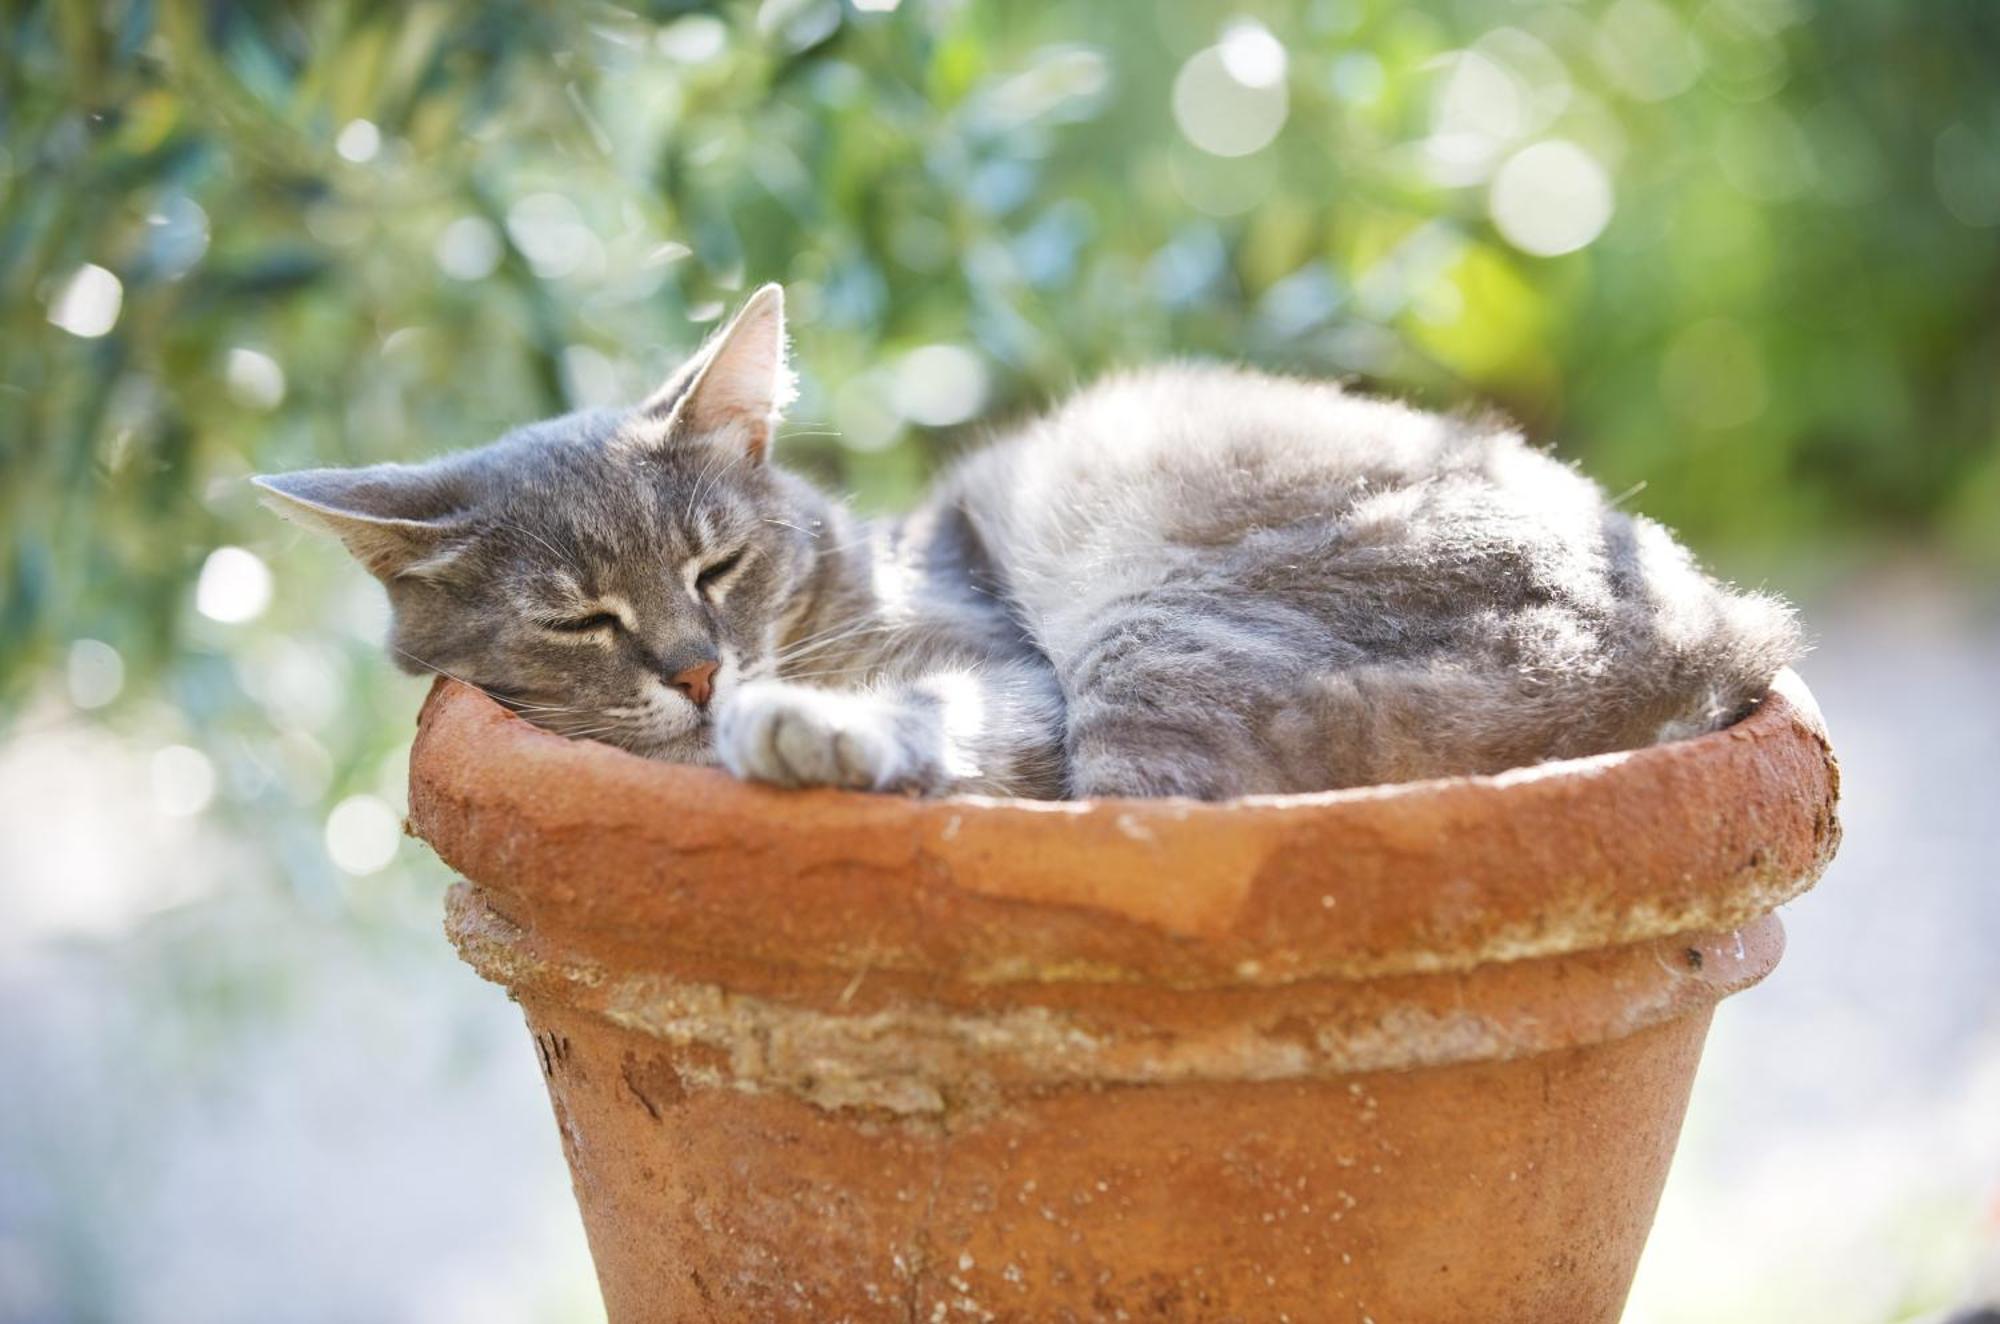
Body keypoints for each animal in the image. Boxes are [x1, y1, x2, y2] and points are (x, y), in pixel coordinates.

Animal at [258, 286, 1808, 804]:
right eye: (579, 617)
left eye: (715, 567)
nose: (698, 673)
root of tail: (1726, 629)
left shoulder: (1003, 670)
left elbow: (942, 723)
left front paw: (805, 731)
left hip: (1146, 641)